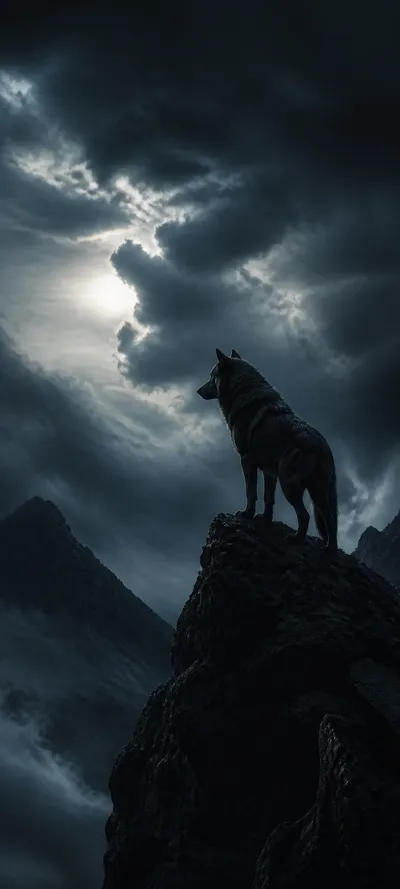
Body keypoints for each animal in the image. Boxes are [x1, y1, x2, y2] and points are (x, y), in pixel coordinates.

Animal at [197, 348, 338, 552]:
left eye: (211, 377)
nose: (198, 391)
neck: (243, 394)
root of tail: (321, 445)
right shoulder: (270, 472)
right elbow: (268, 498)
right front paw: (265, 519)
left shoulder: (247, 460)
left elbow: (251, 492)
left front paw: (247, 514)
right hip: (317, 493)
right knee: (331, 520)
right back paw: (329, 550)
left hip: (289, 485)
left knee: (305, 515)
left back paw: (296, 539)